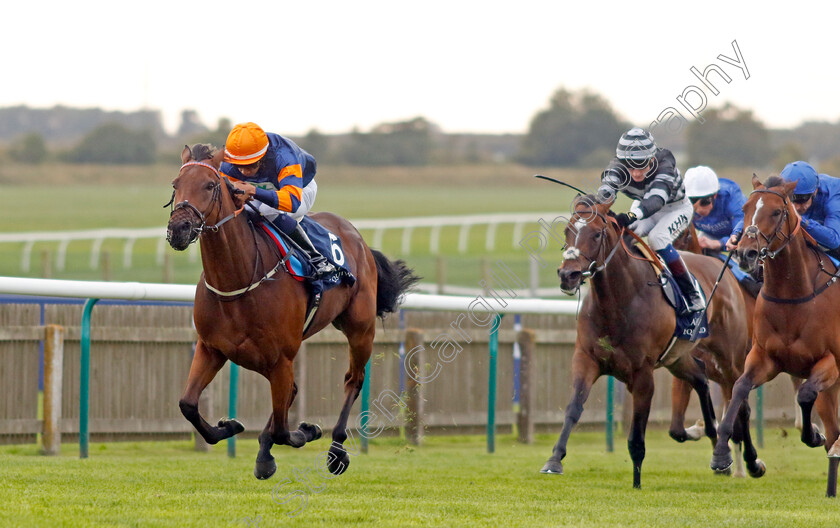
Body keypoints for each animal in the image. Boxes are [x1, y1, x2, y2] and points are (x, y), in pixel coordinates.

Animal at [166, 144, 418, 478]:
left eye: (209, 185)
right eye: (175, 184)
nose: (178, 229)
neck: (239, 279)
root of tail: (357, 237)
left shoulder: (280, 357)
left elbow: (285, 430)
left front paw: (307, 431)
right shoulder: (212, 348)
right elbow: (188, 405)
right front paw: (230, 427)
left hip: (360, 328)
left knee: (353, 379)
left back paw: (336, 450)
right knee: (293, 393)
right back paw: (265, 451)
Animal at [540, 195, 764, 486]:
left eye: (597, 233)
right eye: (568, 230)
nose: (568, 275)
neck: (618, 301)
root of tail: (721, 269)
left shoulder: (642, 373)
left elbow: (636, 434)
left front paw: (636, 482)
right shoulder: (586, 359)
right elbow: (573, 408)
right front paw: (554, 459)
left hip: (729, 358)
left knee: (741, 402)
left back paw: (751, 462)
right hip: (678, 357)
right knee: (701, 380)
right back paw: (718, 449)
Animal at [712, 175, 840, 498]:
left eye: (777, 211)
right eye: (745, 208)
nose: (746, 253)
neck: (792, 296)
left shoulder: (830, 363)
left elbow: (805, 394)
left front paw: (813, 435)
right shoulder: (763, 358)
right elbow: (739, 391)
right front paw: (723, 456)